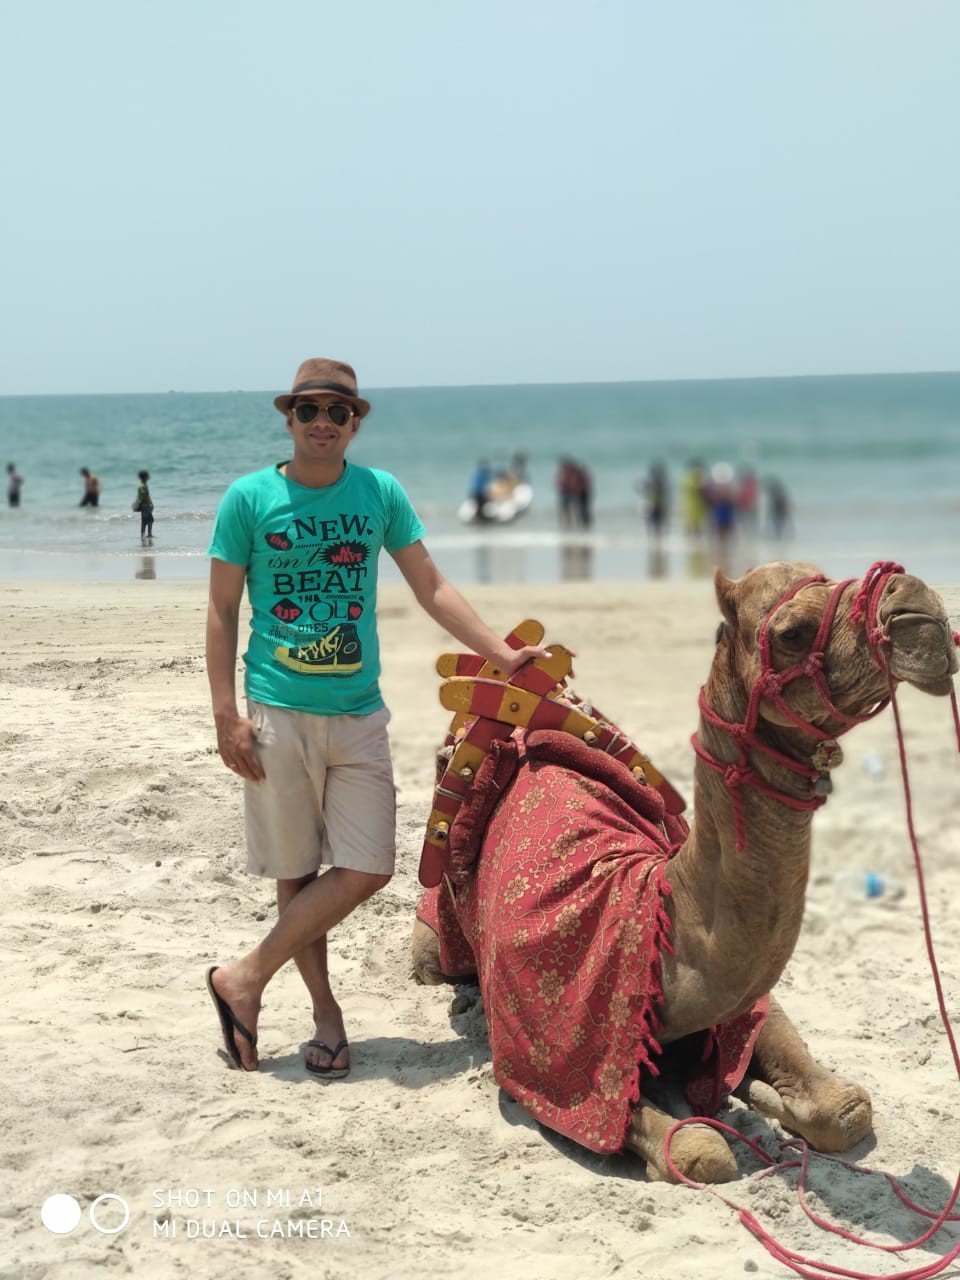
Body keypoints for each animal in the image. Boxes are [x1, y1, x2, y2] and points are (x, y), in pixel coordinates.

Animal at [411, 561, 958, 1183]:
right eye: (792, 632)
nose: (918, 605)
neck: (649, 908)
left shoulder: (752, 1007)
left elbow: (846, 1110)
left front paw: (765, 1098)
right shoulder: (552, 1060)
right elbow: (701, 1151)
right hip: (433, 945)